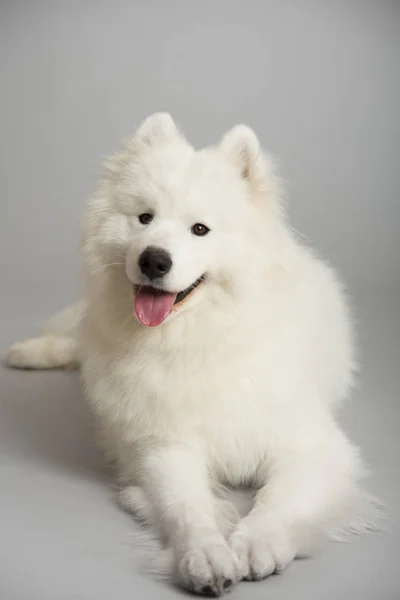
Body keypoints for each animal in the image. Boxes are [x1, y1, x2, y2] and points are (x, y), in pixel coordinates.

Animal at [8, 112, 378, 596]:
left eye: (199, 229)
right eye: (144, 218)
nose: (153, 260)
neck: (196, 342)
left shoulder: (310, 447)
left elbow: (277, 499)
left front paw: (257, 543)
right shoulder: (163, 446)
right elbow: (187, 508)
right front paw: (206, 555)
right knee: (77, 343)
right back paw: (28, 352)